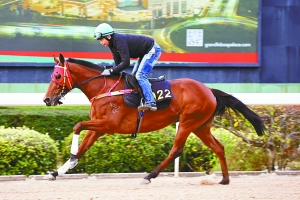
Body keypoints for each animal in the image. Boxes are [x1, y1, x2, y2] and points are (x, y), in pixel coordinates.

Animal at [42, 53, 264, 184]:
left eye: (57, 76)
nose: (46, 99)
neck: (105, 89)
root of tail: (209, 90)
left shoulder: (109, 124)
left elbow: (77, 126)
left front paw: (69, 157)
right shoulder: (100, 128)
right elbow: (82, 148)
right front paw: (56, 171)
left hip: (187, 122)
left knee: (176, 150)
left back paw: (149, 175)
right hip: (201, 126)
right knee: (218, 147)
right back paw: (225, 179)